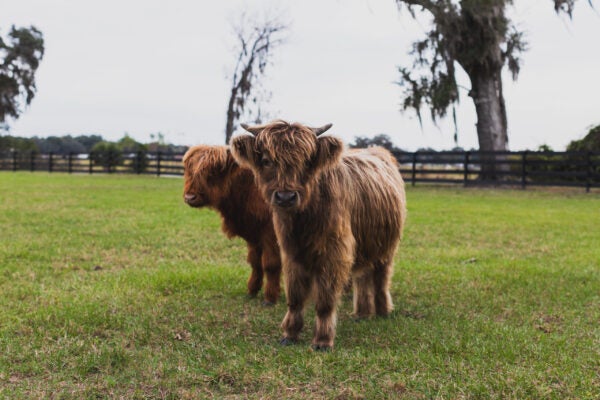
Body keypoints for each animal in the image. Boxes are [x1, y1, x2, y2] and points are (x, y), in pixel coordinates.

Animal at [182, 145, 282, 304]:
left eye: (213, 171)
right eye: (188, 169)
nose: (190, 197)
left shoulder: (270, 234)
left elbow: (270, 264)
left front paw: (270, 298)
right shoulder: (254, 234)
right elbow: (255, 262)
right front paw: (252, 290)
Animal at [230, 119, 408, 350]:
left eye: (307, 161)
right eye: (267, 160)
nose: (285, 197)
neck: (303, 220)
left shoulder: (334, 253)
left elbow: (325, 300)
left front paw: (323, 340)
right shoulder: (291, 253)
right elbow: (295, 297)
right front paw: (290, 333)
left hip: (386, 247)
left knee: (381, 277)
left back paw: (383, 311)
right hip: (364, 245)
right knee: (363, 277)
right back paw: (362, 313)